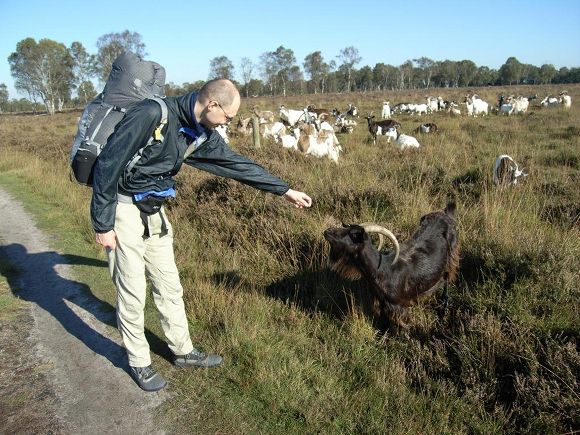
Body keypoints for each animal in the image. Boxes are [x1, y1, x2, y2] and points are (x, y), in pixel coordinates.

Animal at [324, 203, 460, 328]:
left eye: (353, 234)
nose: (327, 231)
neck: (381, 269)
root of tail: (446, 214)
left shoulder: (399, 306)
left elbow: (403, 325)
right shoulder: (380, 302)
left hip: (452, 256)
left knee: (447, 278)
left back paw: (444, 307)